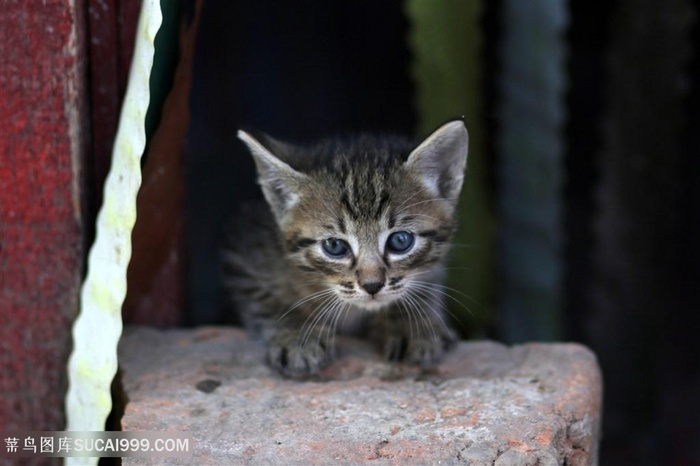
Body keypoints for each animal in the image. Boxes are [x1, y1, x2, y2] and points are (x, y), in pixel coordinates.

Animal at [221, 118, 468, 376]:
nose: (372, 286)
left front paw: (412, 324)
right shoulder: (243, 260)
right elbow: (272, 301)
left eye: (400, 241)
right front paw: (299, 334)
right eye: (334, 246)